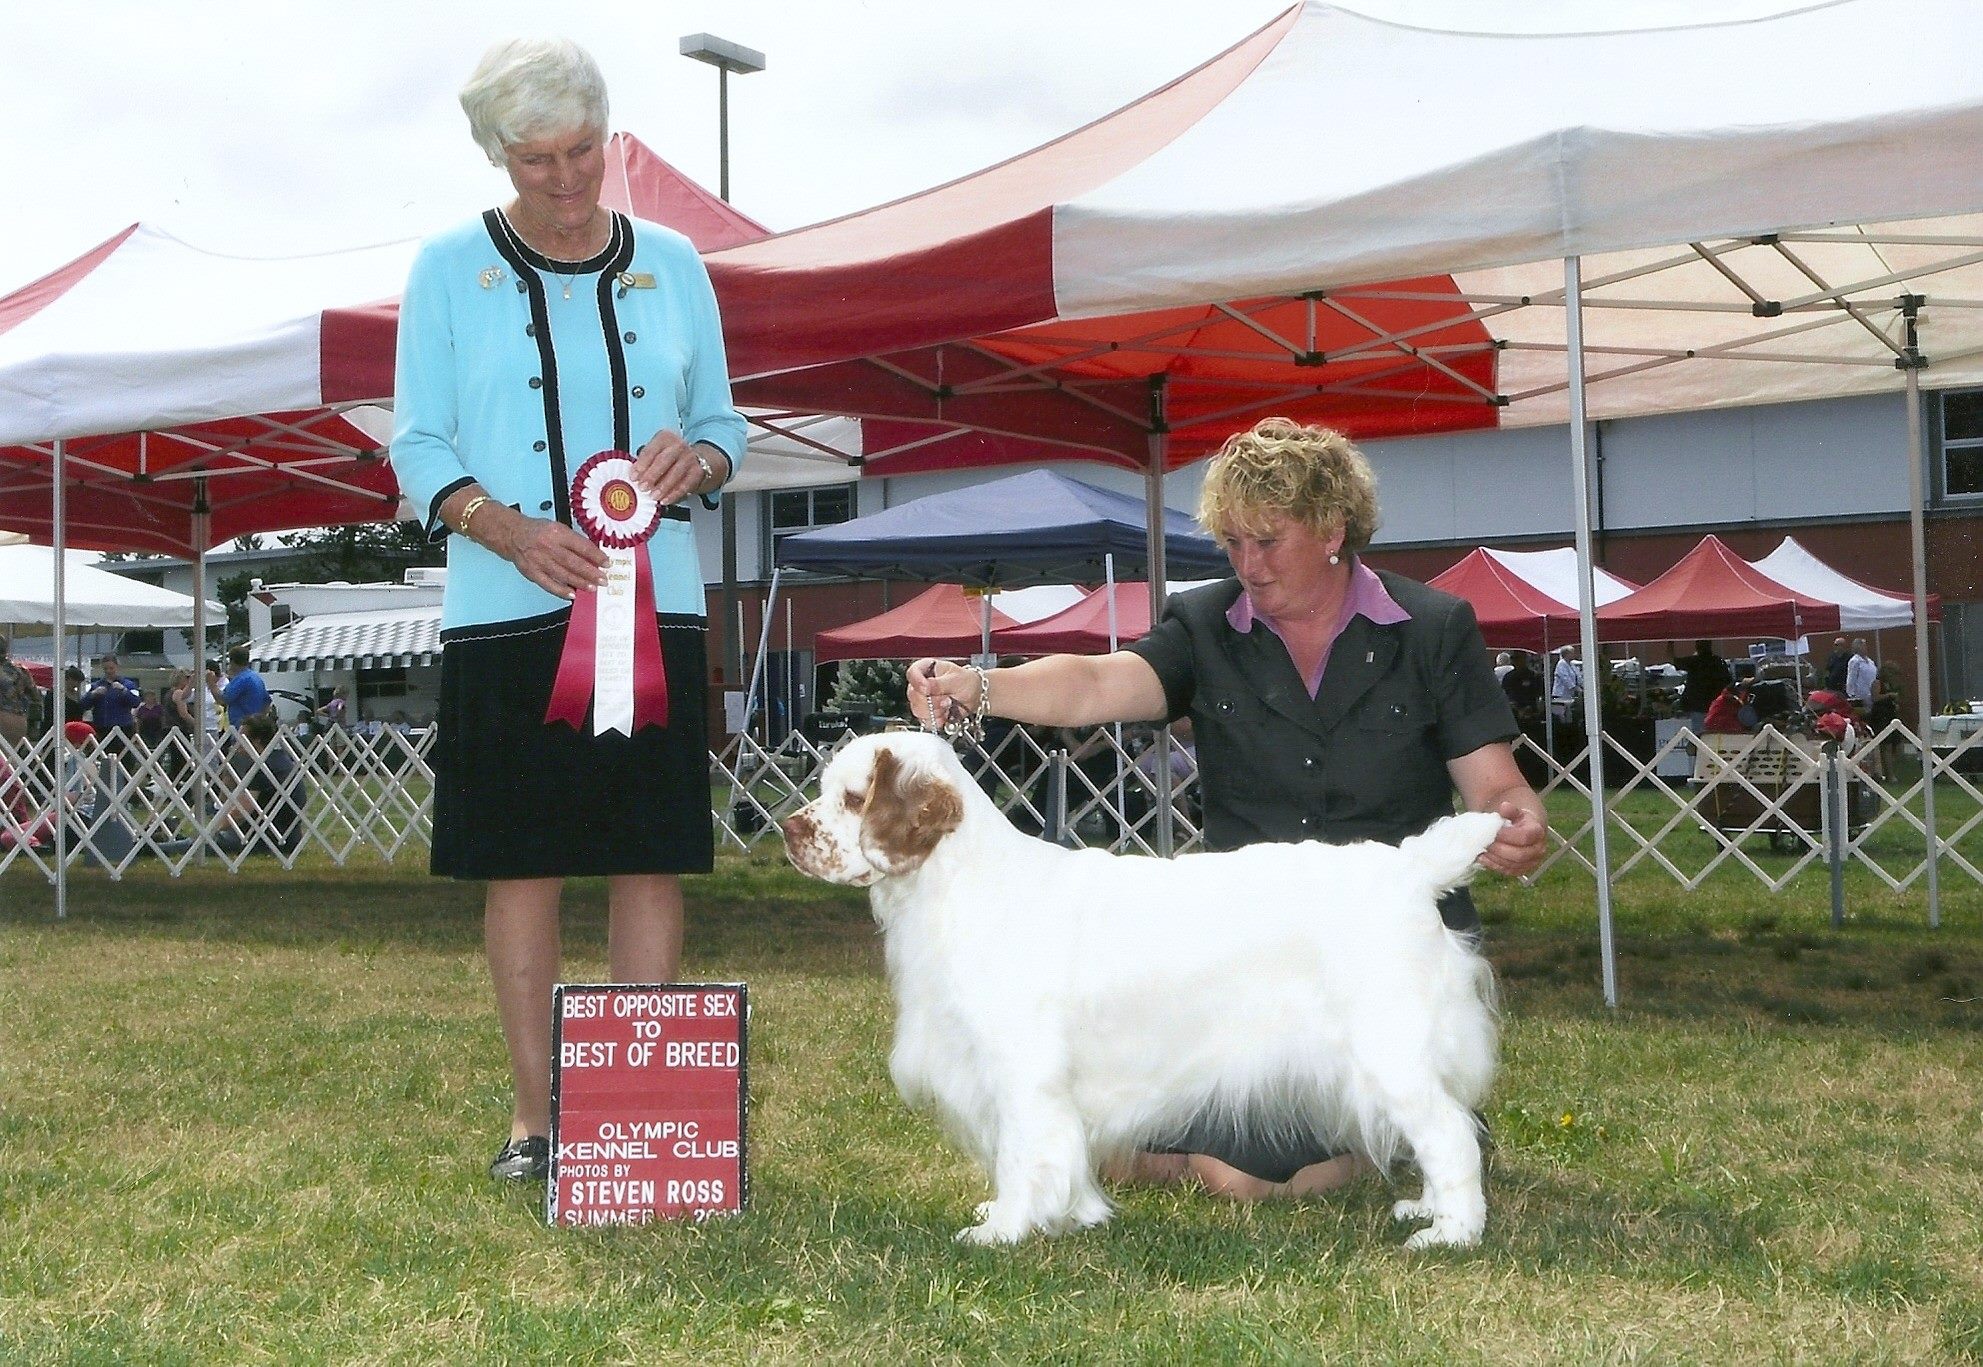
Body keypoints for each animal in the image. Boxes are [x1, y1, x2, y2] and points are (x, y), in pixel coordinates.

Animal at [781, 734, 1491, 1245]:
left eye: (854, 797)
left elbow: (1022, 1155)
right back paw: (1423, 1209)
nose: (789, 831)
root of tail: (1410, 869)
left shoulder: (1022, 1074)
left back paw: (1451, 1234)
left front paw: (1002, 1230)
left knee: (1452, 1135)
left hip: (1390, 1055)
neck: (952, 884)